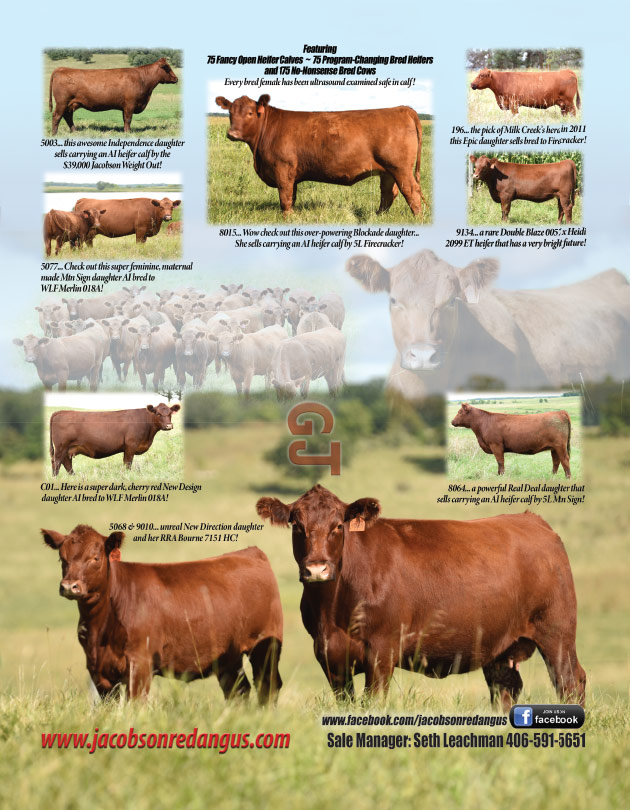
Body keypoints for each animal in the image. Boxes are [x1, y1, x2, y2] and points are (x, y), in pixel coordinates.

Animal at [42, 525, 283, 701]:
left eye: (95, 557)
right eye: (62, 558)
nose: (69, 586)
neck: (101, 627)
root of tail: (250, 552)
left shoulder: (140, 663)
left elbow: (135, 703)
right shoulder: (98, 670)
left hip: (265, 646)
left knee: (268, 686)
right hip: (228, 656)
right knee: (238, 690)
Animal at [49, 57, 179, 135]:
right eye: (167, 68)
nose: (176, 78)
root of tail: (61, 69)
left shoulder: (125, 106)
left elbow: (125, 119)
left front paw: (126, 131)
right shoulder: (130, 104)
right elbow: (128, 119)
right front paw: (128, 132)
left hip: (70, 104)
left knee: (67, 116)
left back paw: (75, 131)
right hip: (62, 102)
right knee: (57, 116)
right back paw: (54, 134)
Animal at [49, 403, 180, 475]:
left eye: (170, 413)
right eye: (158, 414)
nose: (169, 426)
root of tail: (60, 412)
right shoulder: (130, 446)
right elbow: (128, 463)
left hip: (67, 449)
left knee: (67, 464)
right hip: (61, 447)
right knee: (56, 463)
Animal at [215, 95, 426, 217]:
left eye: (250, 113)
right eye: (230, 113)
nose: (232, 134)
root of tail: (402, 108)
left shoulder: (282, 168)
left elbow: (285, 195)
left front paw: (287, 218)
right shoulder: (292, 173)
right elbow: (292, 196)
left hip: (400, 168)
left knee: (411, 191)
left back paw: (417, 219)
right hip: (388, 171)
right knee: (389, 193)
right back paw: (377, 216)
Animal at [256, 485, 585, 711]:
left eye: (338, 526)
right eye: (297, 527)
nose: (317, 568)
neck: (332, 609)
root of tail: (534, 521)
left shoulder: (382, 648)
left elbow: (374, 700)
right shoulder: (328, 655)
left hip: (556, 632)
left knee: (570, 681)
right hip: (500, 645)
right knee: (505, 689)